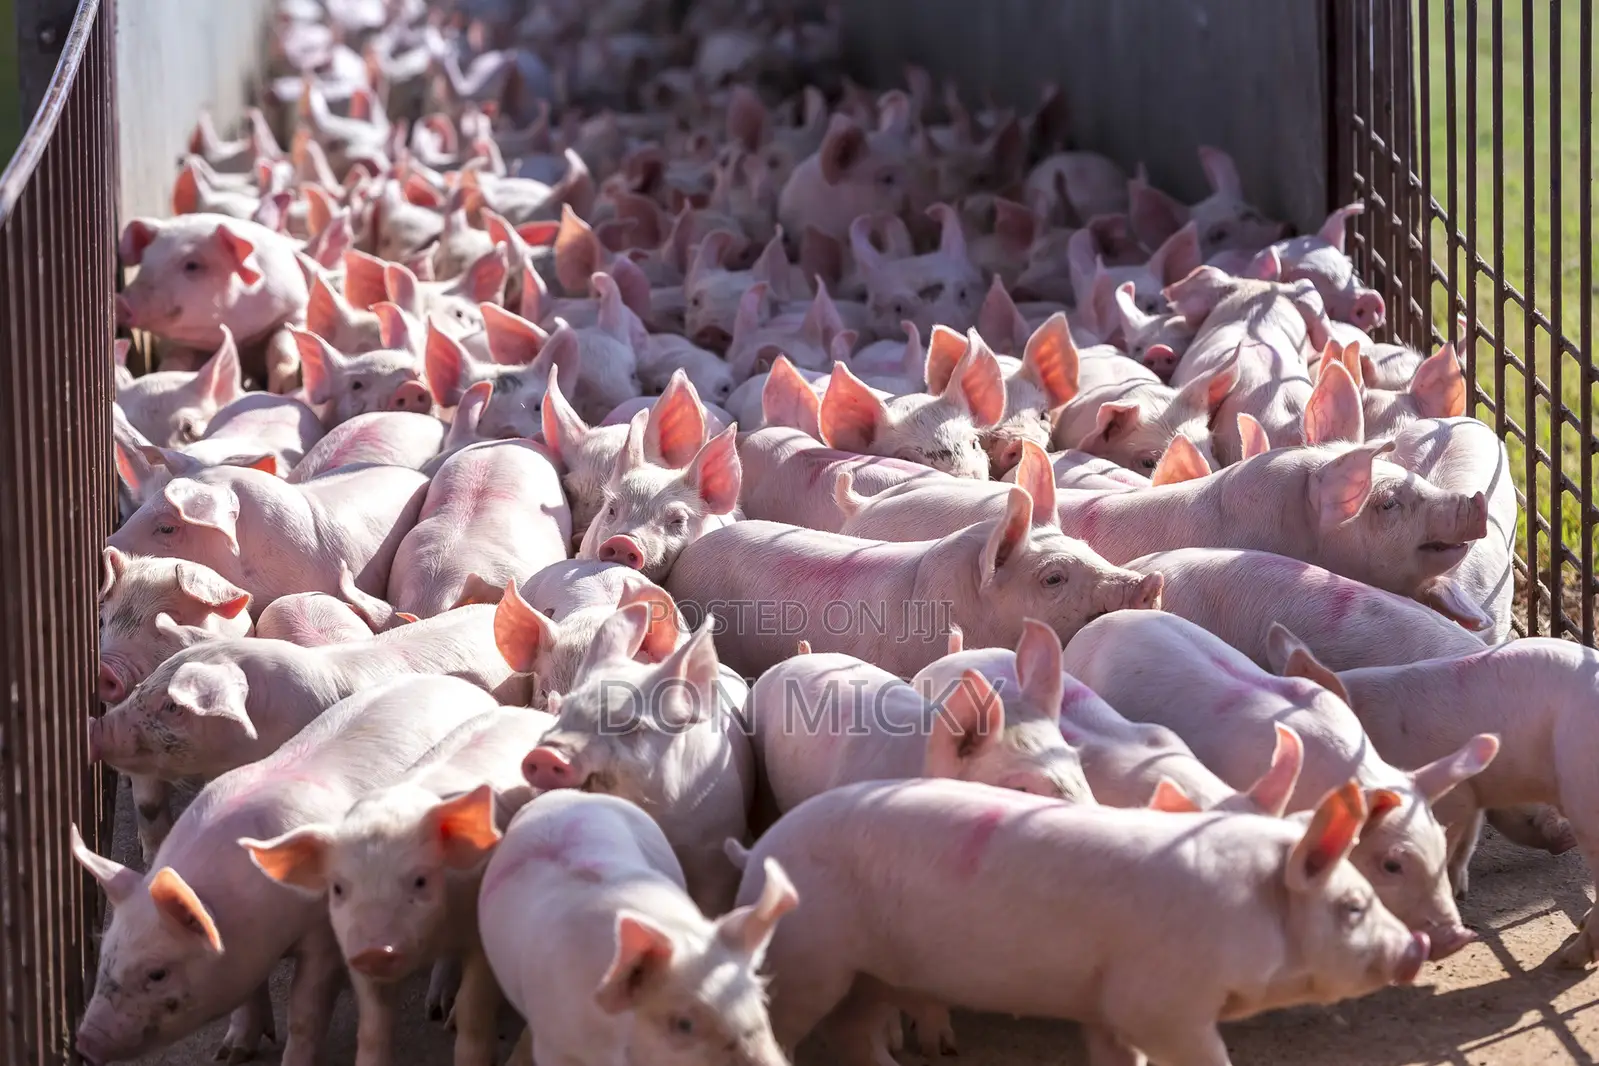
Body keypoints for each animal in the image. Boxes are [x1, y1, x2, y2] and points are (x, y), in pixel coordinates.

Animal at [71, 675, 491, 1066]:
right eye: (105, 953)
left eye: (157, 973)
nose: (86, 1042)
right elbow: (247, 996)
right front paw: (230, 1053)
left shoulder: (323, 932)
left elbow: (305, 1012)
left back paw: (440, 1013)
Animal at [117, 214, 310, 392]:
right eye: (145, 262)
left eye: (192, 265)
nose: (121, 300)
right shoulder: (178, 343)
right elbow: (174, 362)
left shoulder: (294, 311)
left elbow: (282, 350)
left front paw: (281, 390)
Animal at [243, 706, 555, 1066]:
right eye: (338, 888)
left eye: (420, 880)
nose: (375, 950)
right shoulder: (351, 948)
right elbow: (373, 1029)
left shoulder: (483, 935)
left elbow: (473, 1012)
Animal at [738, 778, 1427, 1064]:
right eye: (1354, 907)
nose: (1417, 944)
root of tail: (757, 854)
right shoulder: (1158, 1001)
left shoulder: (1105, 1009)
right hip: (809, 961)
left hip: (871, 974)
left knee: (851, 1032)